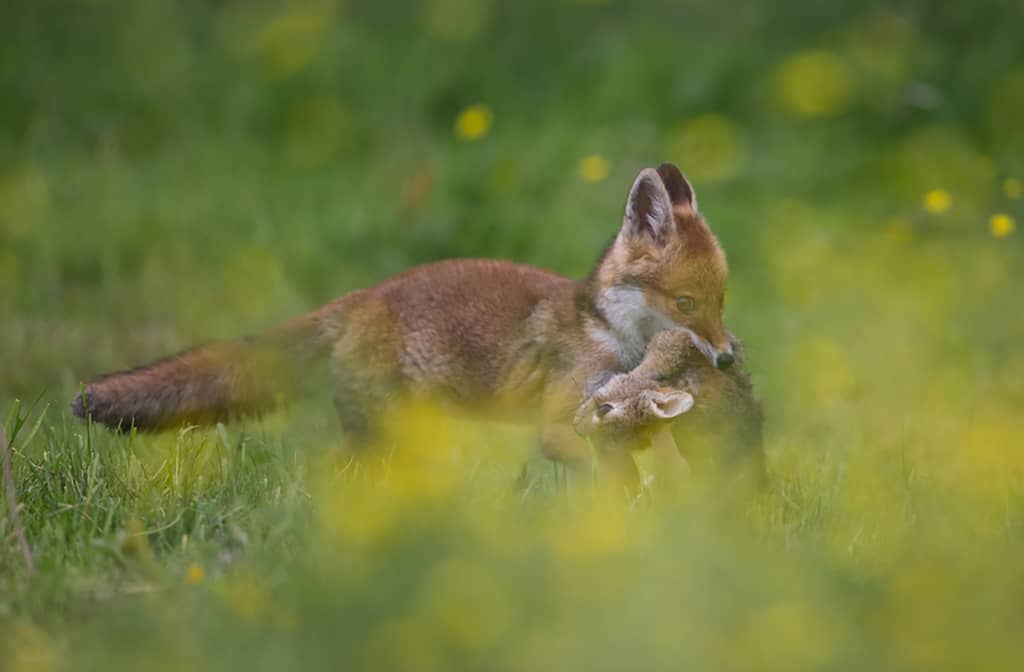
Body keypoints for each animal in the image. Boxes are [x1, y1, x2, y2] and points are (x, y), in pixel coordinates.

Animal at [75, 164, 741, 479]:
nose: (729, 357)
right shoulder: (558, 422)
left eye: (721, 300)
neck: (607, 332)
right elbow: (596, 464)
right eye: (686, 304)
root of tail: (359, 297)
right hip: (383, 437)